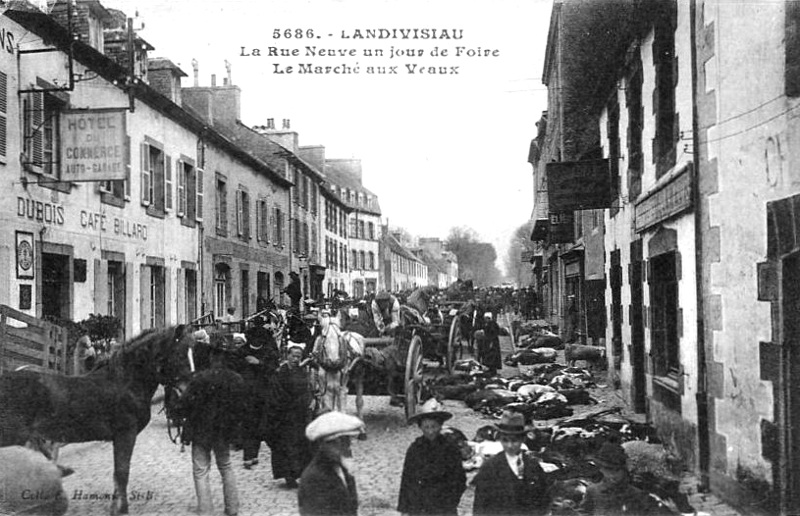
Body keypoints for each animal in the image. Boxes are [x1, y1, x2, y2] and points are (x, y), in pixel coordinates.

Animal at [0, 324, 196, 512]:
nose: (191, 392)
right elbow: (122, 473)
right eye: (179, 354)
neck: (124, 383)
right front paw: (120, 509)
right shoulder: (125, 435)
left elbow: (119, 473)